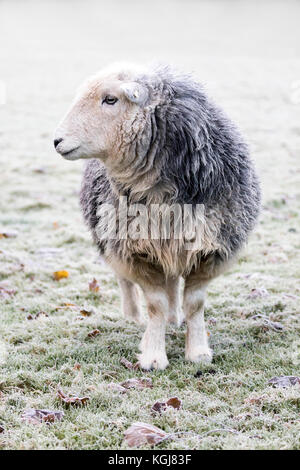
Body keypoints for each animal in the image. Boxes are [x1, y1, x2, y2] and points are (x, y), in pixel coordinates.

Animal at [54, 63, 260, 370]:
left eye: (110, 99)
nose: (57, 141)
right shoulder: (137, 252)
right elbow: (155, 304)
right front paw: (153, 355)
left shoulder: (209, 251)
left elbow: (195, 304)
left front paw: (198, 352)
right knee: (126, 282)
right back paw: (132, 317)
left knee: (173, 282)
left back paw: (175, 318)